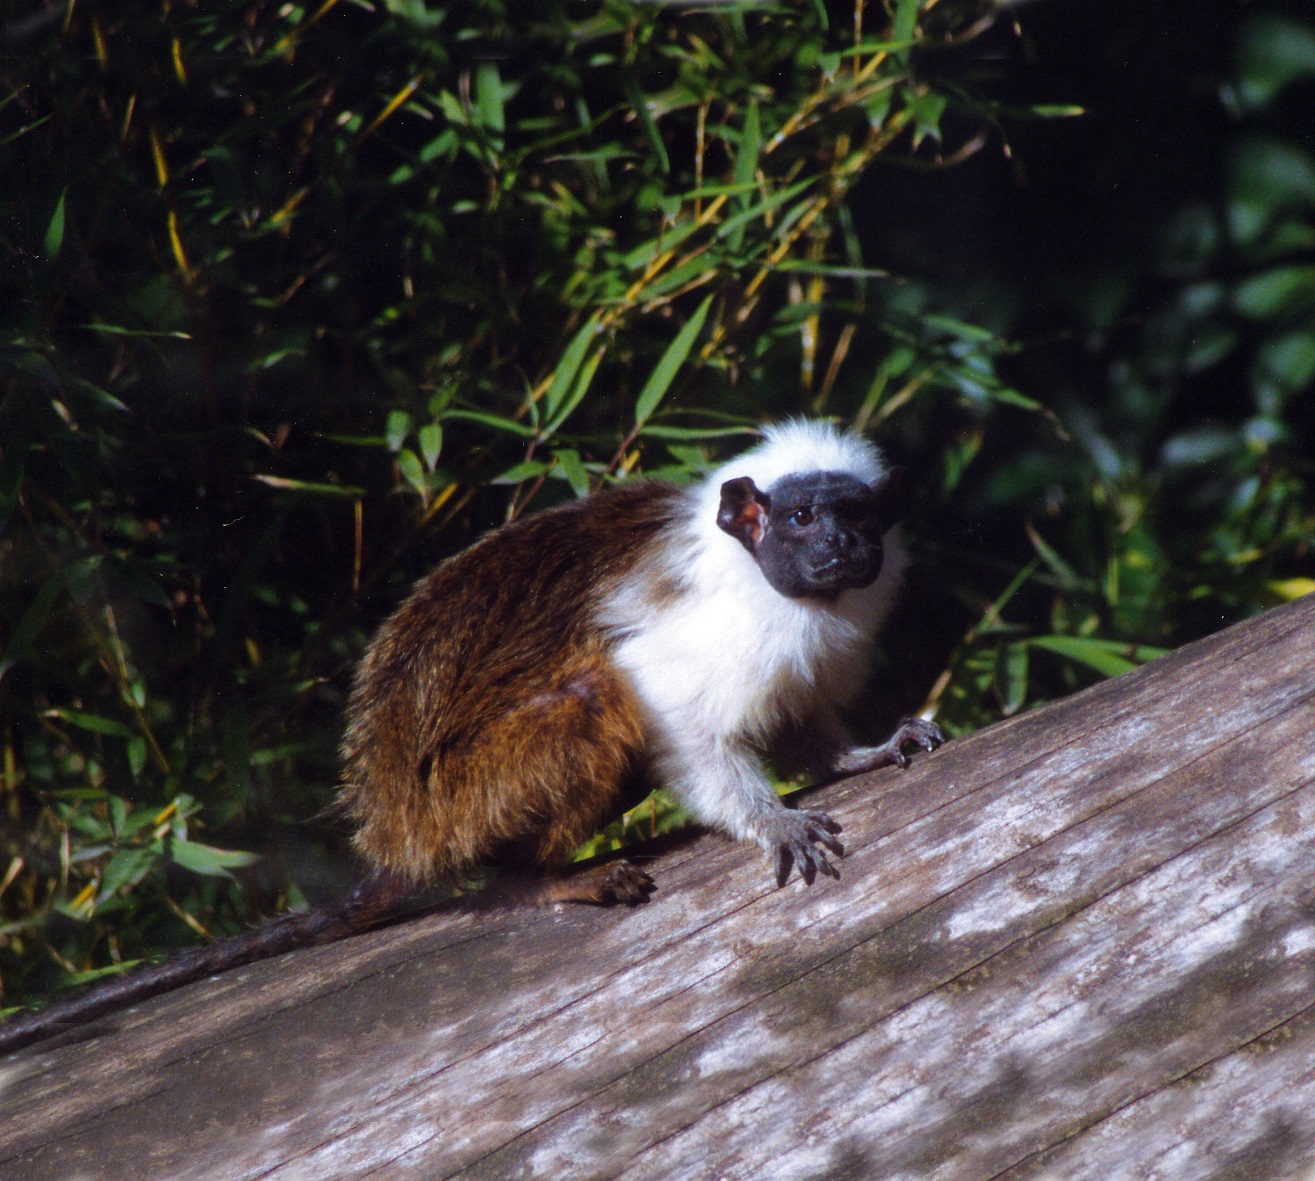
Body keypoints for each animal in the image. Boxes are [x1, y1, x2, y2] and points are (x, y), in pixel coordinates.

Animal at [0, 420, 946, 1052]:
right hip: (467, 796)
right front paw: (772, 819)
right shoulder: (714, 636)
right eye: (799, 520)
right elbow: (676, 717)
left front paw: (863, 752)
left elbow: (809, 725)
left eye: (858, 518)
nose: (840, 546)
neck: (785, 592)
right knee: (590, 691)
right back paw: (534, 882)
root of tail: (403, 833)